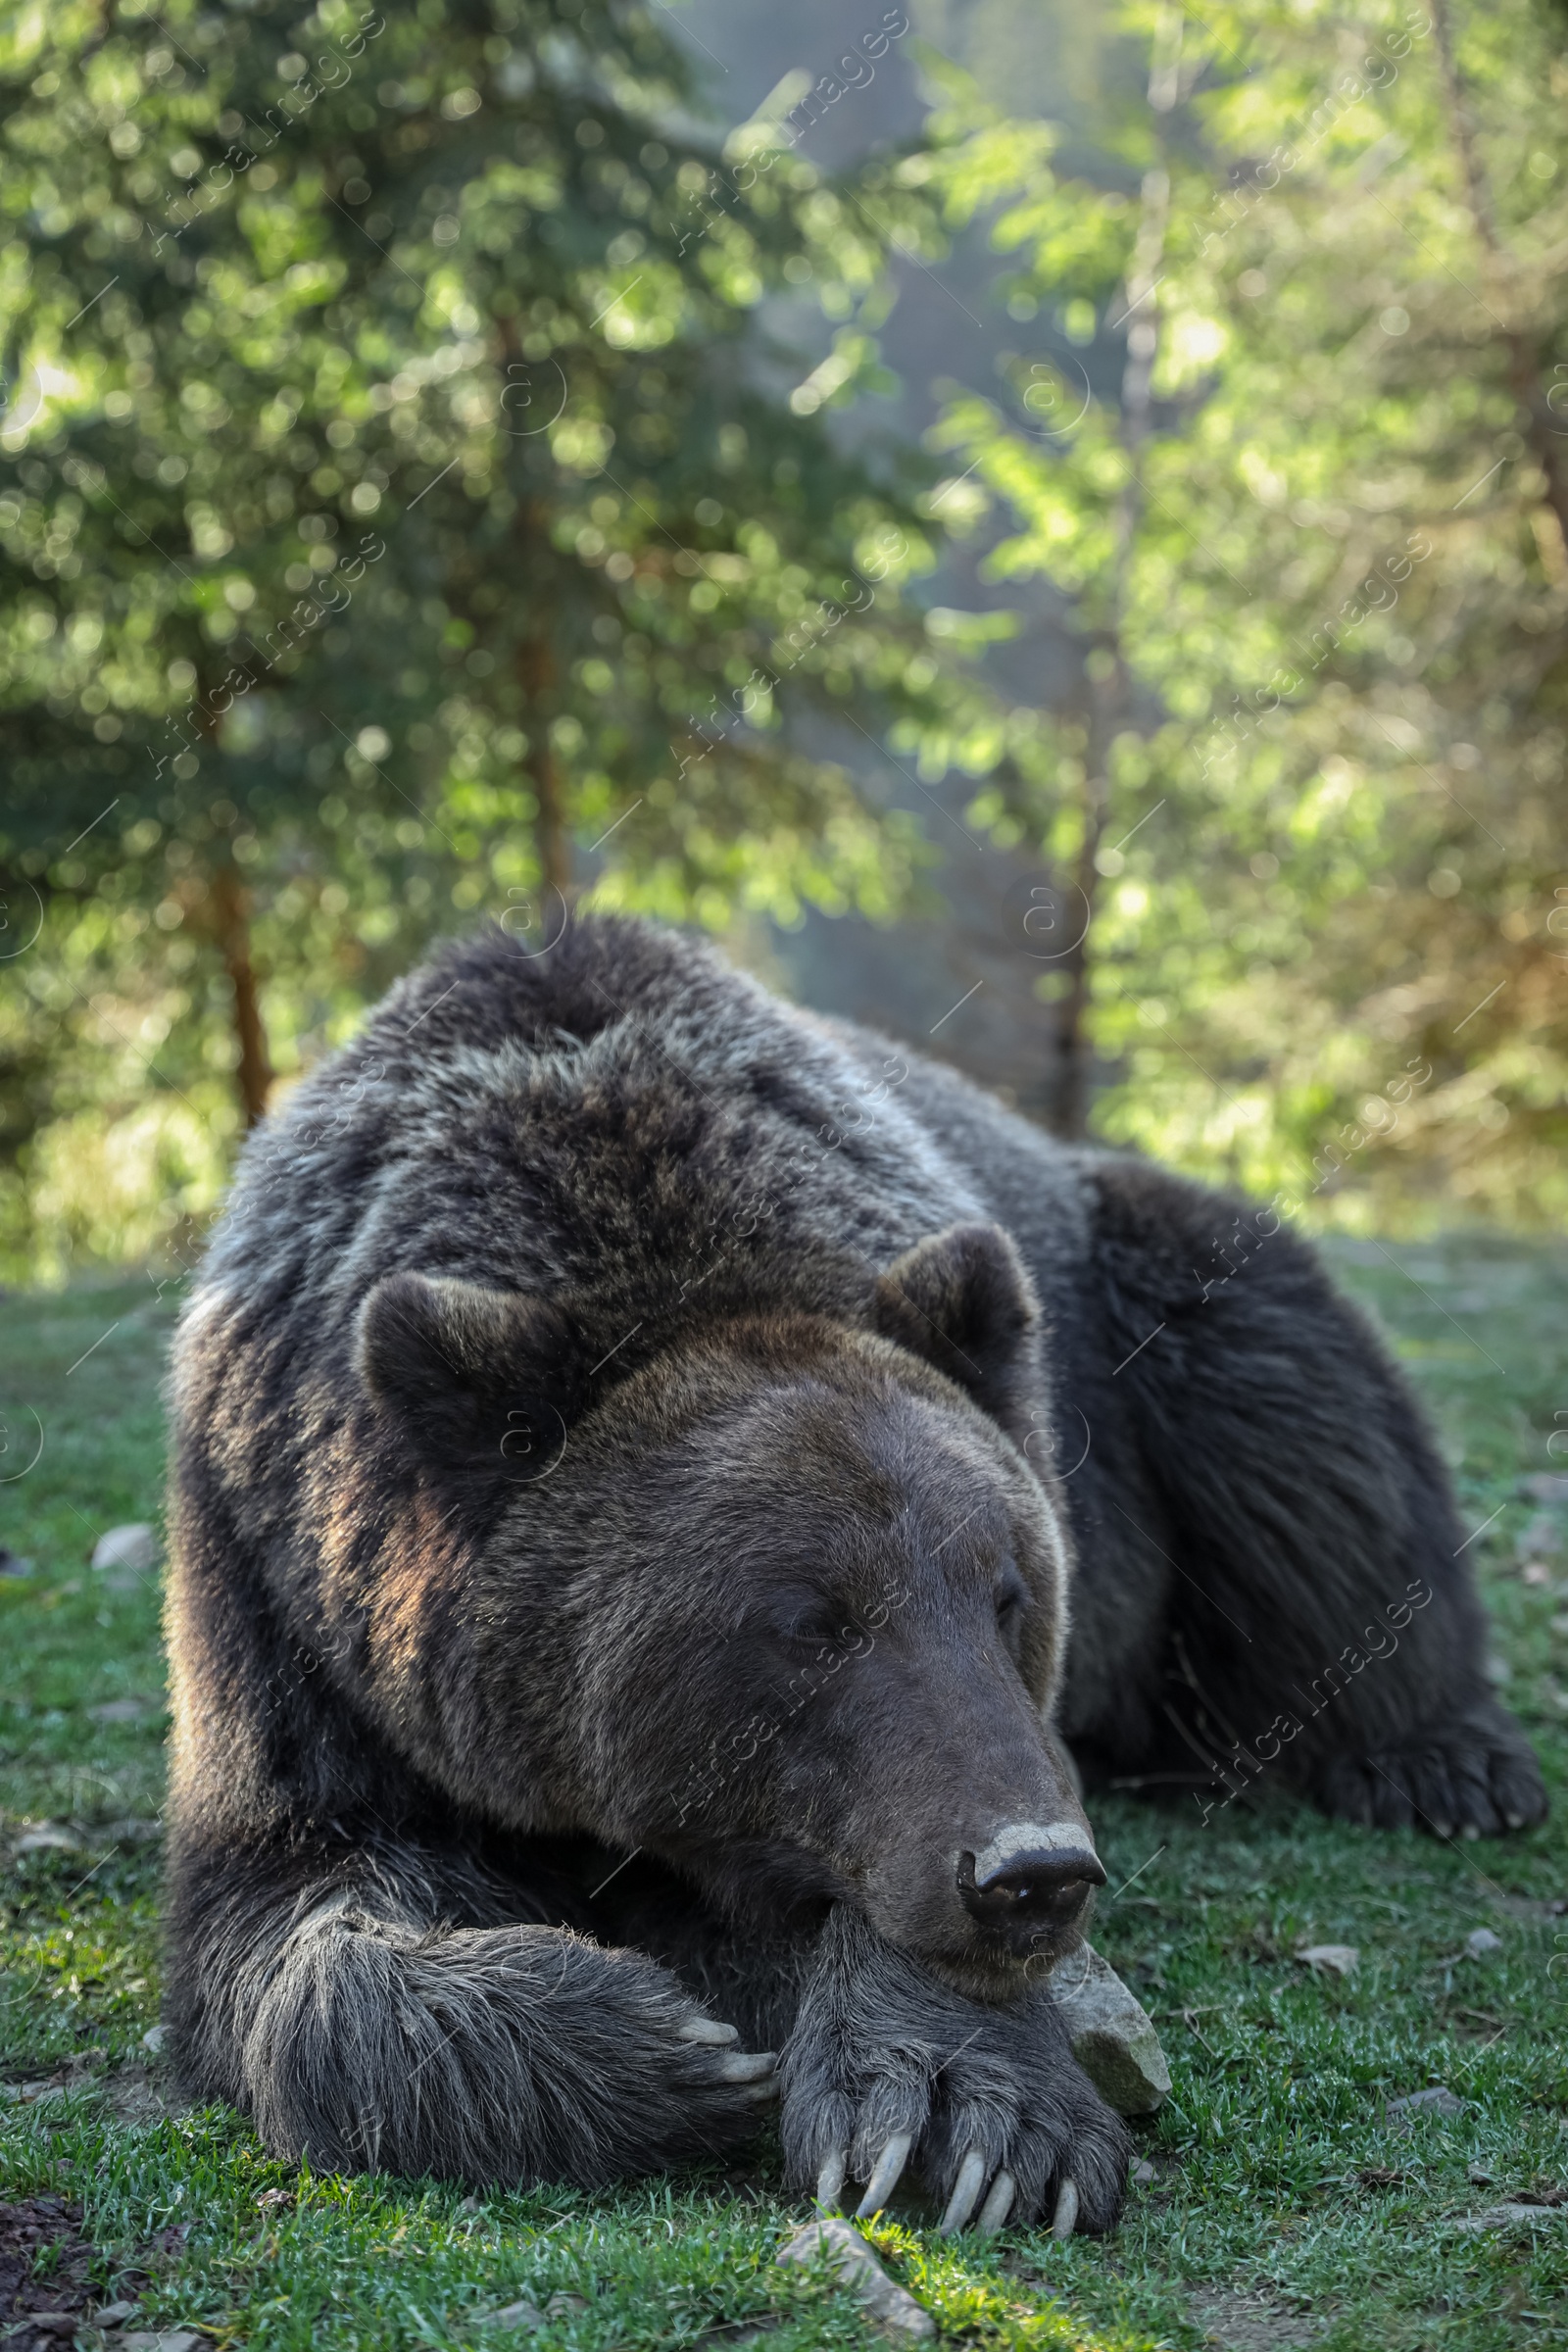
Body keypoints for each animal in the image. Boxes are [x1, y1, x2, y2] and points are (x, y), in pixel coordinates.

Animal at [160, 907, 1542, 2230]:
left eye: (1008, 1595)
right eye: (809, 1622)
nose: (1034, 1872)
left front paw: (959, 2114)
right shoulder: (288, 1617)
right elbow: (300, 1906)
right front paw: (670, 2048)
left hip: (1147, 1296)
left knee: (1302, 1423)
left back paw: (1441, 1762)